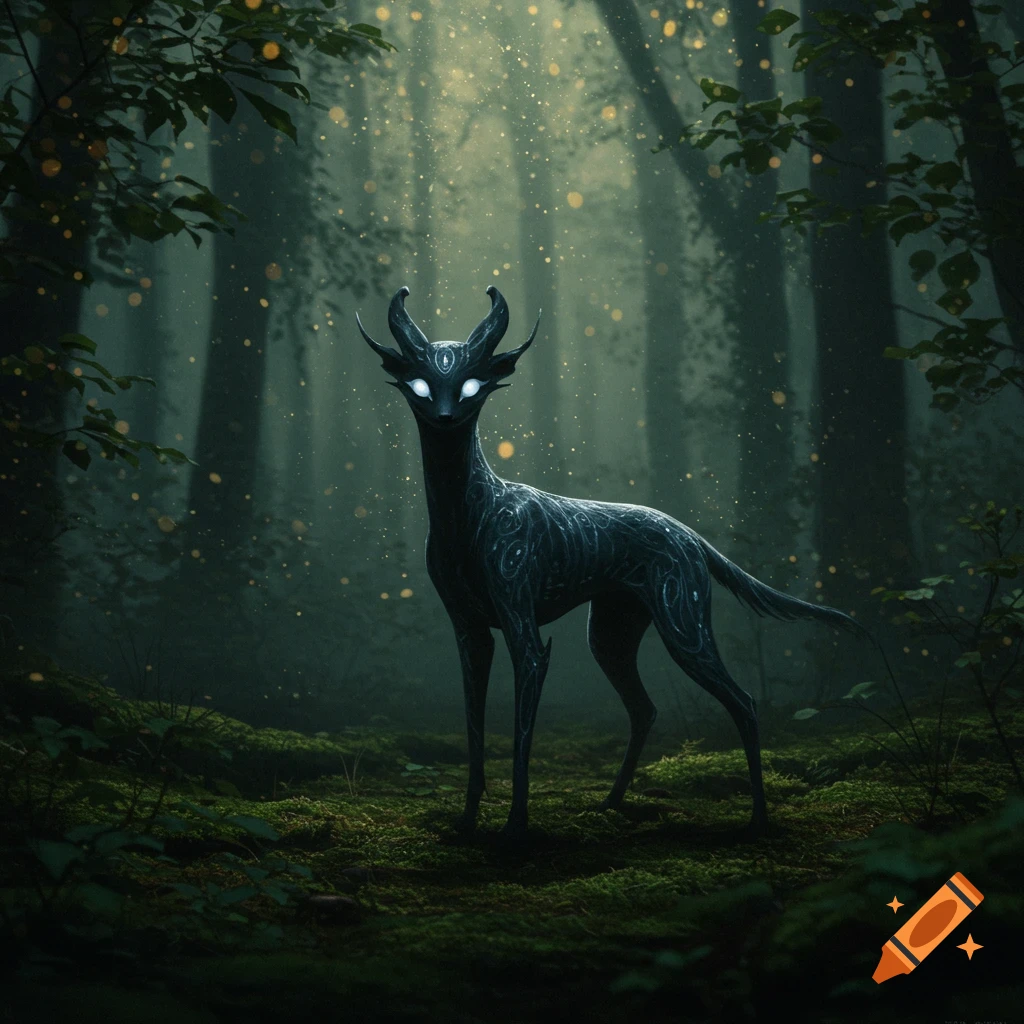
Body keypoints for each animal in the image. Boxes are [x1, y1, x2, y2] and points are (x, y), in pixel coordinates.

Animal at [356, 286, 867, 841]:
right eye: (420, 386)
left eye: (472, 386)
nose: (446, 419)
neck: (467, 515)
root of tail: (690, 535)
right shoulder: (469, 631)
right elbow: (474, 731)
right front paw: (467, 822)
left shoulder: (524, 632)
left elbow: (520, 736)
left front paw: (516, 826)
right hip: (610, 635)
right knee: (645, 708)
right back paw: (611, 802)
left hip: (682, 624)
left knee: (744, 702)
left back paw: (757, 818)